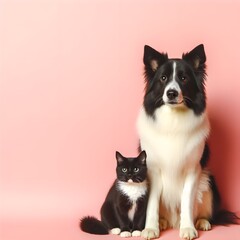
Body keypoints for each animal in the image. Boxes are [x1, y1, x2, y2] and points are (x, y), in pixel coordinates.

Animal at [137, 44, 238, 239]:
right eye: (163, 78)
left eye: (183, 78)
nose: (171, 93)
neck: (173, 120)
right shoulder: (152, 170)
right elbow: (152, 203)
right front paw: (151, 228)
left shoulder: (193, 169)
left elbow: (186, 200)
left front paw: (187, 228)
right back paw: (162, 222)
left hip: (209, 180)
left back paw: (202, 222)